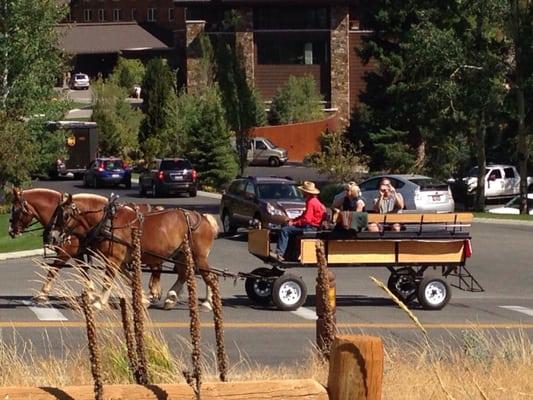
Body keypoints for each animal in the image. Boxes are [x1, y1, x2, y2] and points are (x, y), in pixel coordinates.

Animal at [45, 193, 218, 310]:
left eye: (65, 215)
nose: (52, 236)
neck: (107, 221)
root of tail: (203, 218)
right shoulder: (120, 261)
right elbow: (129, 280)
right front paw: (143, 299)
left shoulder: (113, 259)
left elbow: (108, 280)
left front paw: (98, 302)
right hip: (181, 254)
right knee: (184, 274)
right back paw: (171, 298)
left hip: (199, 256)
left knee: (210, 277)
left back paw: (209, 302)